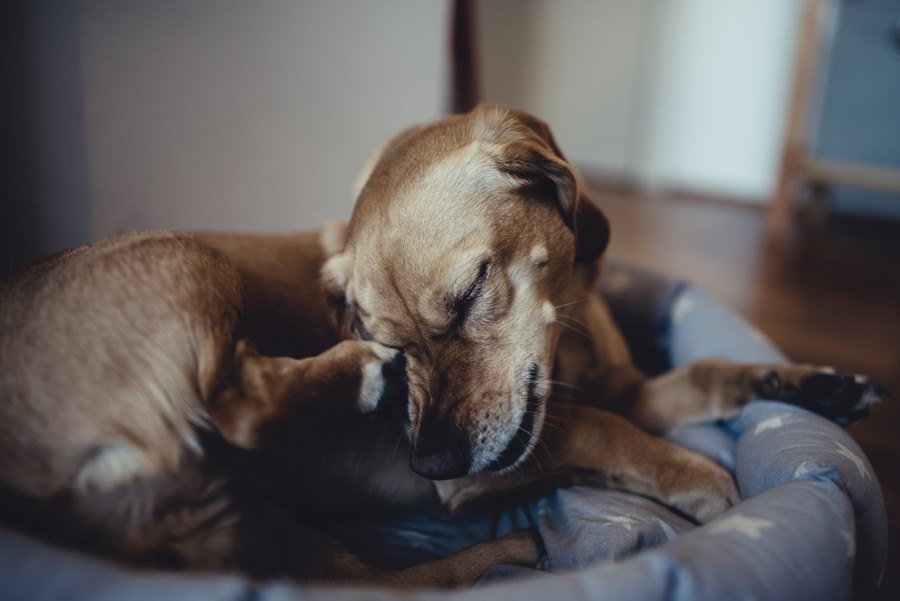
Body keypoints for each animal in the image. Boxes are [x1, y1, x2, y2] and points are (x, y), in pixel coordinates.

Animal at [0, 104, 884, 584]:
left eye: (467, 296)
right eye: (380, 331)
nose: (426, 460)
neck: (567, 339)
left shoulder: (635, 388)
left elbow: (706, 370)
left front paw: (808, 384)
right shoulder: (501, 463)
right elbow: (609, 431)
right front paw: (699, 477)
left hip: (252, 522)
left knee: (367, 584)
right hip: (188, 258)